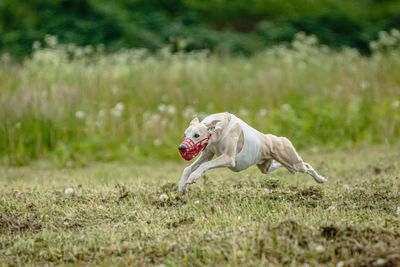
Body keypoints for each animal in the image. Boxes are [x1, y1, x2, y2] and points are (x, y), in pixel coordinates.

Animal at [179, 112, 328, 196]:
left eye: (196, 135)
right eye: (185, 134)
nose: (181, 147)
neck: (217, 131)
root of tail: (280, 139)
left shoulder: (228, 158)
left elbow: (204, 166)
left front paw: (193, 177)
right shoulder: (207, 154)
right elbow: (187, 168)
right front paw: (182, 187)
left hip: (293, 162)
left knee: (306, 166)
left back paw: (320, 179)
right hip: (267, 167)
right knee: (279, 166)